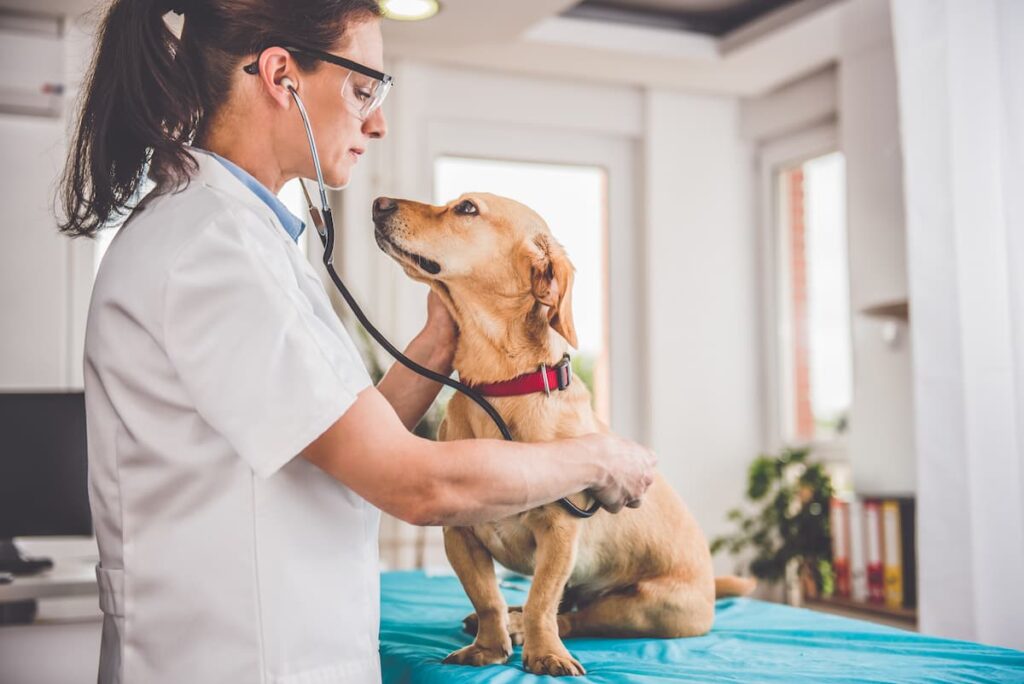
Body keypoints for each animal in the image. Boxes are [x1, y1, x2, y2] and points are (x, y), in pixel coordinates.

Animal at [372, 193, 757, 679]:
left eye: (467, 208)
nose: (377, 203)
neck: (501, 389)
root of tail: (710, 583)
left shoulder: (560, 533)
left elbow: (542, 601)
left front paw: (543, 652)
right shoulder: (459, 534)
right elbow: (487, 597)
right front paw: (488, 647)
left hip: (648, 608)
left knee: (573, 616)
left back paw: (528, 628)